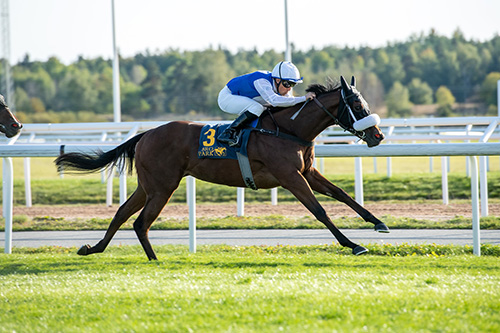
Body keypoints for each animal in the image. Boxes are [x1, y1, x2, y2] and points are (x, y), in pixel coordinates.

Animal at [56, 76, 388, 260]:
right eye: (357, 106)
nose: (378, 136)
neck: (288, 129)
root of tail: (146, 134)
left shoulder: (307, 173)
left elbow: (343, 194)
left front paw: (378, 222)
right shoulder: (290, 177)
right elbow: (319, 211)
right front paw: (353, 244)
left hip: (148, 185)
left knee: (123, 213)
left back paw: (93, 248)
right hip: (163, 187)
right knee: (140, 222)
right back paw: (154, 260)